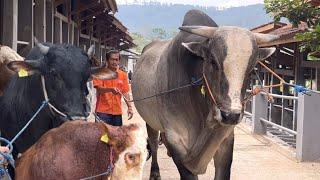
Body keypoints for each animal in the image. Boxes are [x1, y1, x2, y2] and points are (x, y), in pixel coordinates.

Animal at [131, 10, 278, 180]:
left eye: (252, 68)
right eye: (213, 61)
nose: (231, 115)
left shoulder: (226, 142)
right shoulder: (177, 141)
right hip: (150, 120)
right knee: (154, 144)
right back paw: (155, 172)